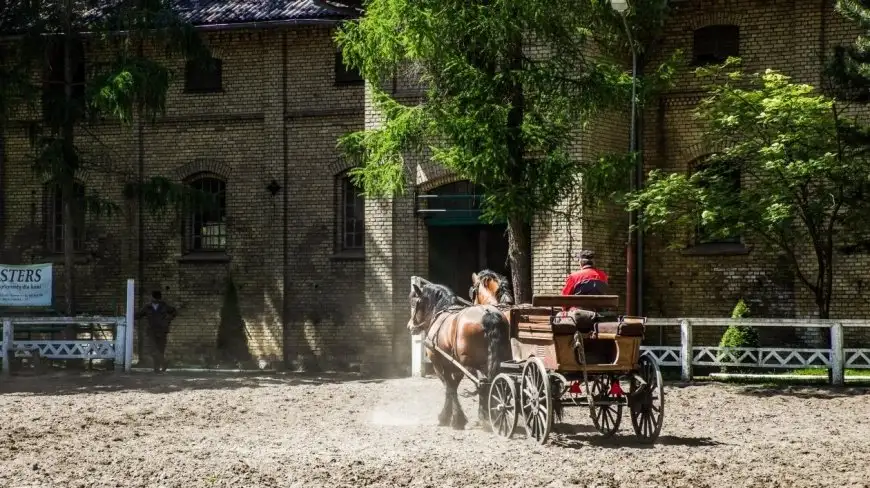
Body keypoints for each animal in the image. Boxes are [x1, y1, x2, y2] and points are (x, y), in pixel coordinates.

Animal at [408, 276, 510, 428]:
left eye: (414, 304)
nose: (409, 326)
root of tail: (489, 314)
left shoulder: (439, 364)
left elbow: (449, 387)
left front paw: (449, 417)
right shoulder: (456, 368)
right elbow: (453, 387)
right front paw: (456, 416)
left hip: (471, 365)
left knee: (482, 383)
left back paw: (485, 417)